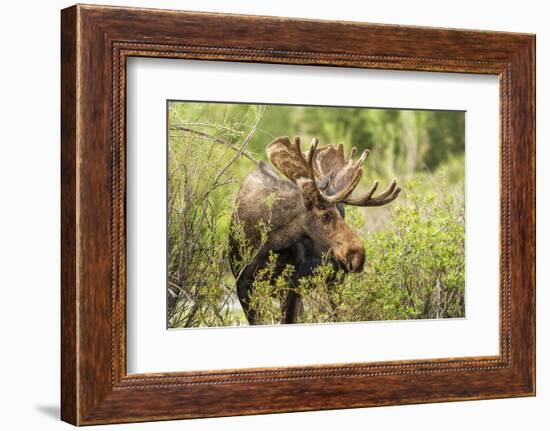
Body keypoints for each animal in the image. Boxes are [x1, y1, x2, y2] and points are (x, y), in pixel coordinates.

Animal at [229, 137, 402, 326]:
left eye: (342, 213)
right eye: (325, 215)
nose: (358, 256)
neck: (268, 242)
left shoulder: (291, 285)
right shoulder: (242, 283)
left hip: (334, 281)